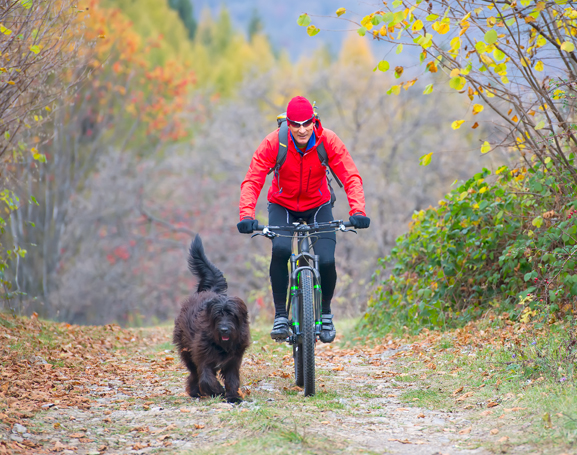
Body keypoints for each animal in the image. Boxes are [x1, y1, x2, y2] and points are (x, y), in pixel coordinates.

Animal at [173, 235, 250, 402]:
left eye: (232, 315)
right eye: (218, 315)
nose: (224, 329)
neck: (221, 345)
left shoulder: (234, 360)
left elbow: (232, 378)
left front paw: (233, 396)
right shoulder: (203, 356)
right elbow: (207, 378)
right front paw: (218, 391)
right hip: (187, 350)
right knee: (194, 373)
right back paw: (195, 391)